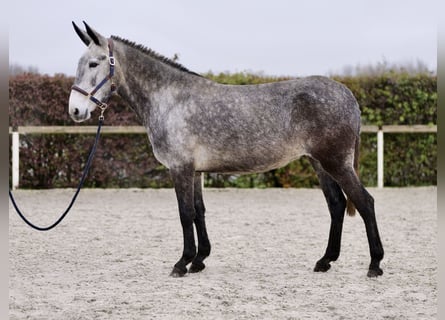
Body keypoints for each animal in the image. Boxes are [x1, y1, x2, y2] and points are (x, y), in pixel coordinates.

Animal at [68, 22, 382, 278]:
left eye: (94, 63)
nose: (75, 110)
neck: (170, 99)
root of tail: (347, 95)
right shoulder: (195, 171)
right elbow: (199, 212)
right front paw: (199, 260)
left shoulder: (180, 168)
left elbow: (184, 213)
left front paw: (182, 263)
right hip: (320, 163)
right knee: (337, 205)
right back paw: (325, 261)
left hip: (336, 163)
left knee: (365, 202)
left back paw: (375, 264)